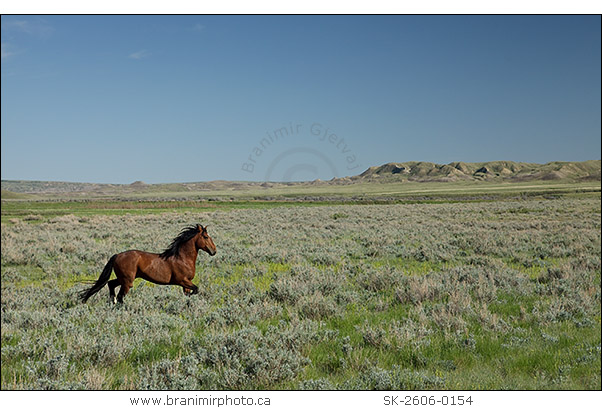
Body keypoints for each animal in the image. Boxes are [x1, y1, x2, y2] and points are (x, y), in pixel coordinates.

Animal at [79, 224, 216, 306]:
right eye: (205, 236)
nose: (214, 251)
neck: (182, 258)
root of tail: (117, 255)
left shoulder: (186, 284)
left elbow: (189, 294)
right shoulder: (182, 281)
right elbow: (196, 289)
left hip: (123, 279)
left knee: (110, 284)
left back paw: (111, 302)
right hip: (127, 282)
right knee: (120, 296)